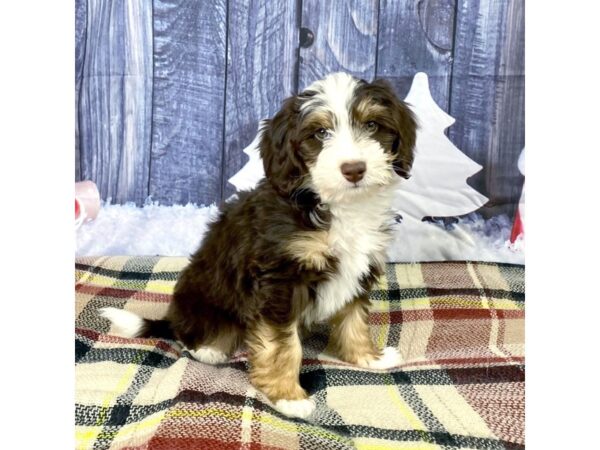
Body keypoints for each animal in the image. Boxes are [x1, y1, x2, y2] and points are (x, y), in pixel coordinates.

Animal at [99, 72, 418, 420]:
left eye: (372, 125)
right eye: (320, 133)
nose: (354, 169)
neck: (338, 206)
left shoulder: (359, 266)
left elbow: (354, 317)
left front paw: (367, 357)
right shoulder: (279, 279)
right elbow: (283, 344)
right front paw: (288, 396)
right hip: (202, 298)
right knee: (191, 332)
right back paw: (209, 348)